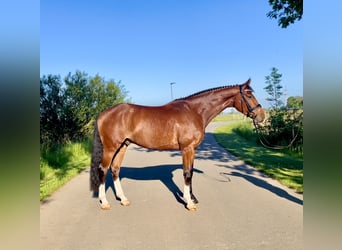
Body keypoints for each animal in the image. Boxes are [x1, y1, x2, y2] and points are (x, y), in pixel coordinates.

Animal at [90, 78, 264, 211]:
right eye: (249, 95)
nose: (261, 116)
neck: (195, 111)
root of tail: (104, 113)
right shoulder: (187, 149)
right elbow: (187, 173)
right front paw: (189, 203)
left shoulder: (192, 149)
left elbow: (190, 172)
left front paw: (192, 198)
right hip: (111, 148)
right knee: (103, 169)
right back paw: (104, 202)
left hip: (122, 146)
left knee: (115, 169)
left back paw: (123, 199)